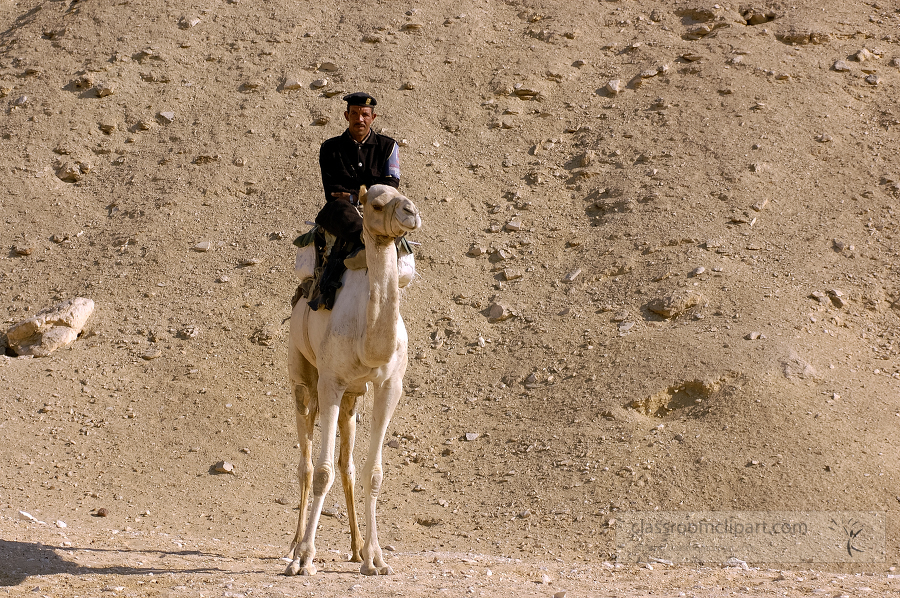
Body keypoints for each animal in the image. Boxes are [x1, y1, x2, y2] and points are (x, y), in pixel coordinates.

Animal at [284, 185, 420, 580]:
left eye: (402, 191)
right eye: (376, 203)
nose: (411, 212)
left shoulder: (390, 386)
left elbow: (373, 473)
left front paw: (376, 559)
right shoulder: (331, 381)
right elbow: (322, 471)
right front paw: (304, 559)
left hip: (353, 398)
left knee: (348, 464)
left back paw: (358, 548)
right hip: (301, 374)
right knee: (306, 463)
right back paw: (292, 547)